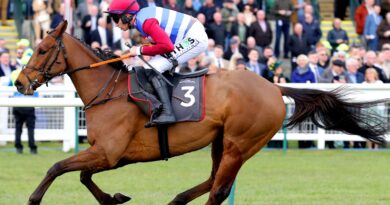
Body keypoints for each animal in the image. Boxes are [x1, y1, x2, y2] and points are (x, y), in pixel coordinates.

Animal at [15, 21, 386, 205]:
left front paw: (33, 198)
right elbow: (80, 175)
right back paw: (177, 200)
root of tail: (273, 87)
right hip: (220, 141)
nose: (19, 82)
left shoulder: (109, 152)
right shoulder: (111, 155)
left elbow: (57, 167)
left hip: (239, 143)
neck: (109, 91)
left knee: (219, 190)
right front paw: (114, 198)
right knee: (213, 181)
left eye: (43, 49)